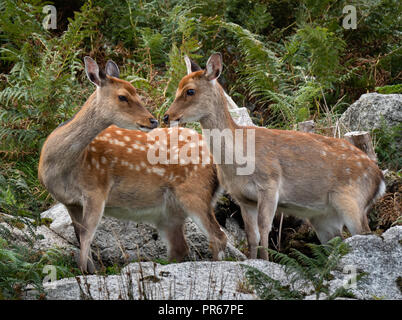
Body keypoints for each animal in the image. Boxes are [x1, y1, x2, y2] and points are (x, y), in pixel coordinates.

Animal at [39, 57, 228, 272]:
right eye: (123, 96)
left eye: (137, 92)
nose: (153, 120)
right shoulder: (70, 202)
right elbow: (81, 238)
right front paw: (88, 271)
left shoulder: (96, 191)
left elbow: (87, 238)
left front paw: (88, 274)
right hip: (169, 212)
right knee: (180, 247)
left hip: (195, 192)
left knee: (219, 236)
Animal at [164, 53, 386, 258]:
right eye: (177, 88)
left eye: (190, 91)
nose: (167, 116)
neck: (239, 160)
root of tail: (380, 178)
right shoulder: (243, 198)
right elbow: (252, 236)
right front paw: (253, 261)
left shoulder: (270, 185)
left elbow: (264, 229)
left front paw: (266, 261)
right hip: (325, 217)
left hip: (353, 200)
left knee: (365, 233)